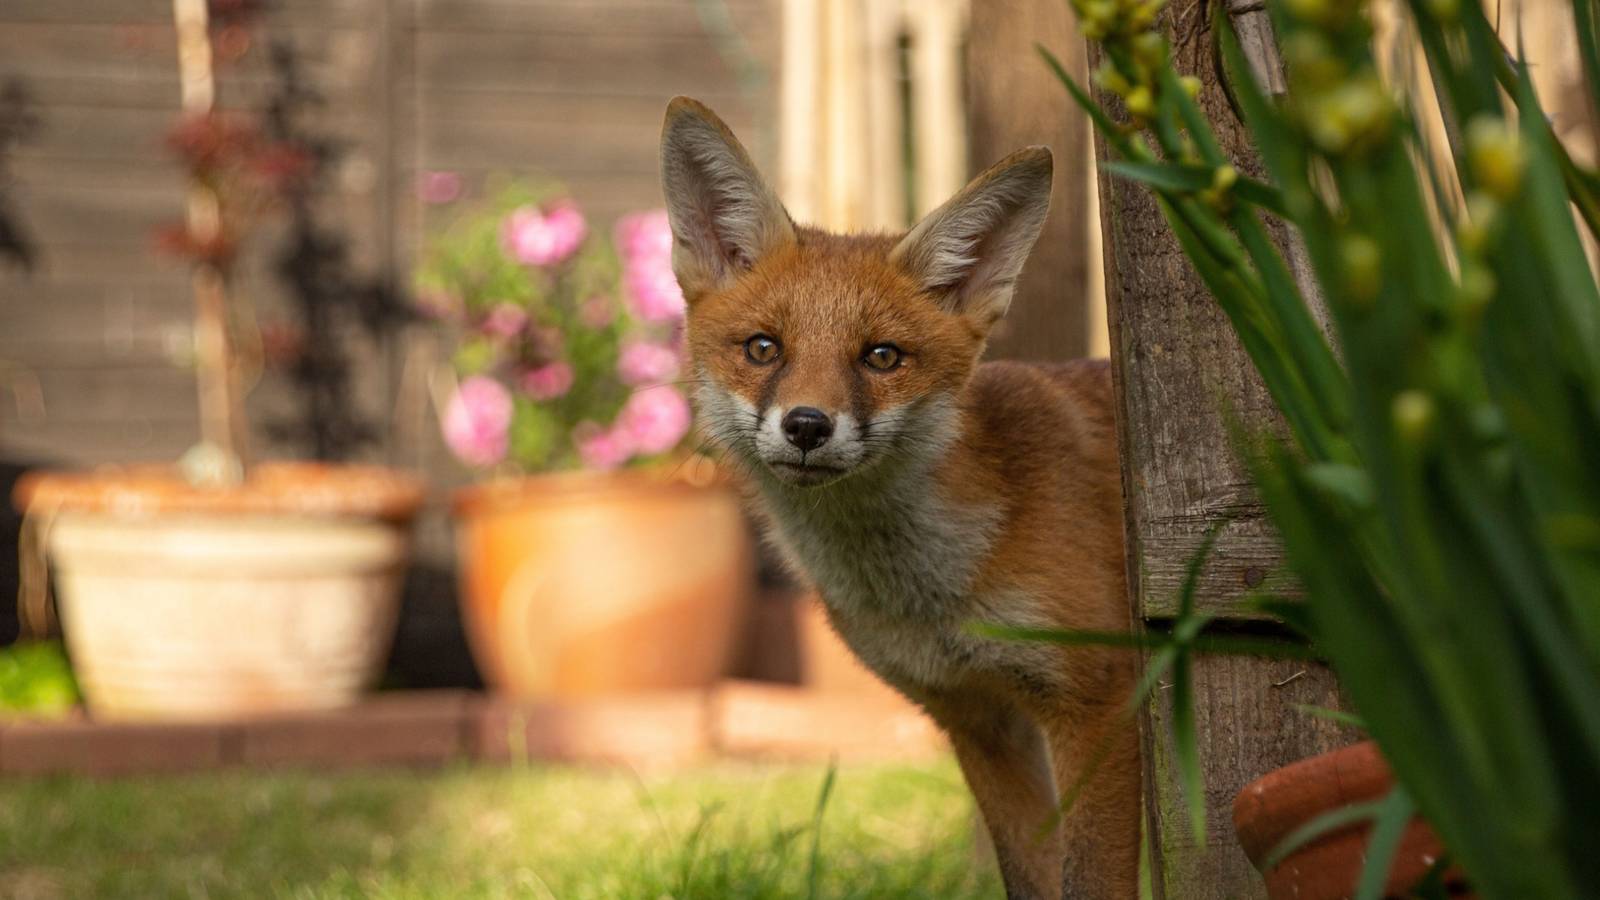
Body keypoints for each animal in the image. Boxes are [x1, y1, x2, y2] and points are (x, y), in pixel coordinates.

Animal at [659, 97, 1138, 900]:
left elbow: (1091, 880)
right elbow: (1030, 877)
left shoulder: (1094, 702)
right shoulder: (978, 717)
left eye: (881, 357)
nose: (807, 426)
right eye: (763, 349)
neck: (936, 593)